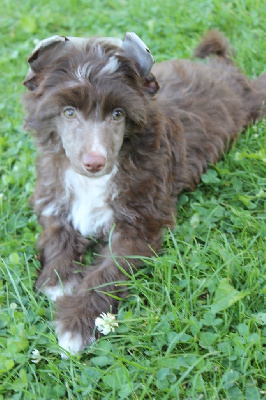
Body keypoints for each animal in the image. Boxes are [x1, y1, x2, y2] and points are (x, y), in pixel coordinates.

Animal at [22, 31, 266, 356]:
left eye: (118, 114)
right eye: (69, 112)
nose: (94, 161)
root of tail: (222, 66)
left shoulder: (140, 222)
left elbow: (108, 271)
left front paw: (76, 321)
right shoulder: (52, 193)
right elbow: (55, 233)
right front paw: (58, 279)